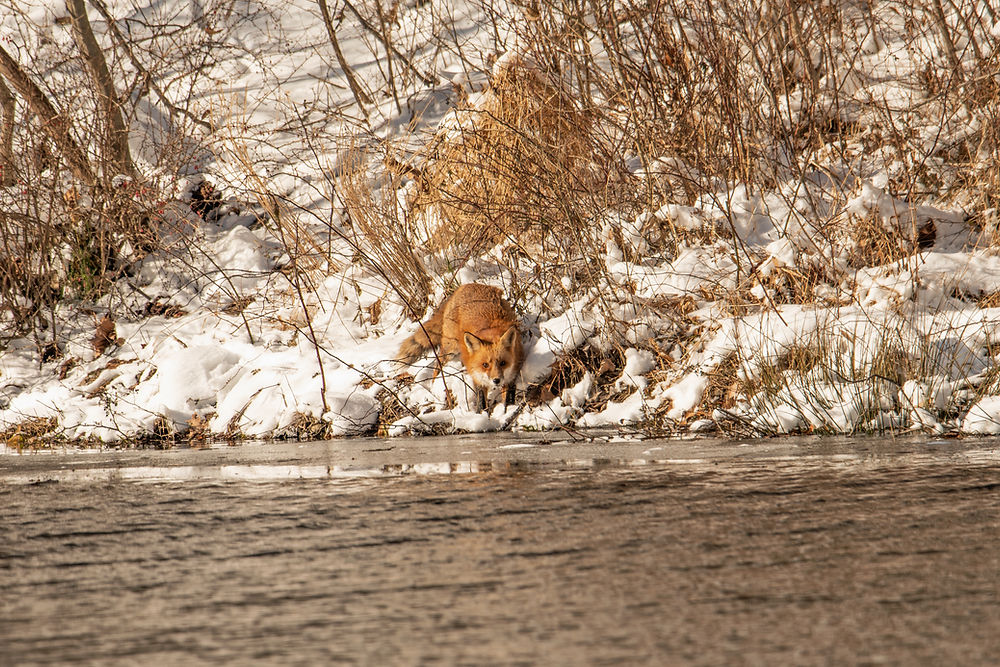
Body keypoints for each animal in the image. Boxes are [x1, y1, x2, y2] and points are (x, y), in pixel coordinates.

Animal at [397, 283, 524, 411]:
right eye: (485, 365)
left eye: (503, 363)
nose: (496, 380)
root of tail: (464, 286)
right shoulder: (478, 378)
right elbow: (481, 403)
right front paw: (483, 415)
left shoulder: (512, 374)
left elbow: (508, 398)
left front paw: (506, 411)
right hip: (450, 349)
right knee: (437, 365)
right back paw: (435, 388)